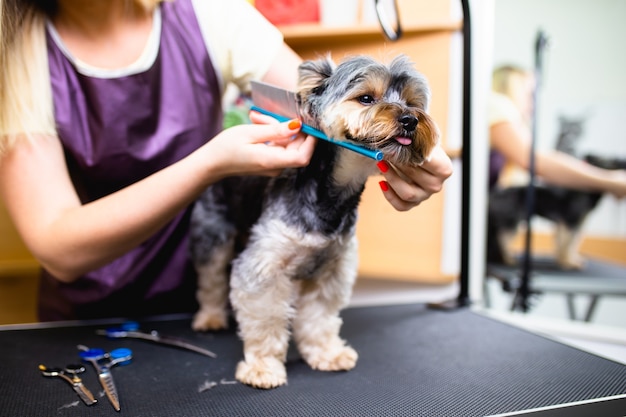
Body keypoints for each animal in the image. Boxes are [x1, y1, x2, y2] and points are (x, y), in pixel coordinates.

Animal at [188, 54, 436, 386]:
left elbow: (320, 317)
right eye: (366, 98)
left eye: (412, 102)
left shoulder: (331, 270)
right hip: (211, 232)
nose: (410, 119)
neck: (331, 197)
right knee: (211, 277)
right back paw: (210, 317)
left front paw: (326, 353)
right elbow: (265, 319)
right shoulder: (264, 267)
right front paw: (262, 366)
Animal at [488, 154, 624, 268]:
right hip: (511, 223)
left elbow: (570, 243)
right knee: (501, 241)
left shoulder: (570, 224)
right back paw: (507, 260)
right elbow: (567, 244)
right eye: (610, 162)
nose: (622, 161)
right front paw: (567, 262)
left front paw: (567, 259)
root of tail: (495, 194)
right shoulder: (570, 222)